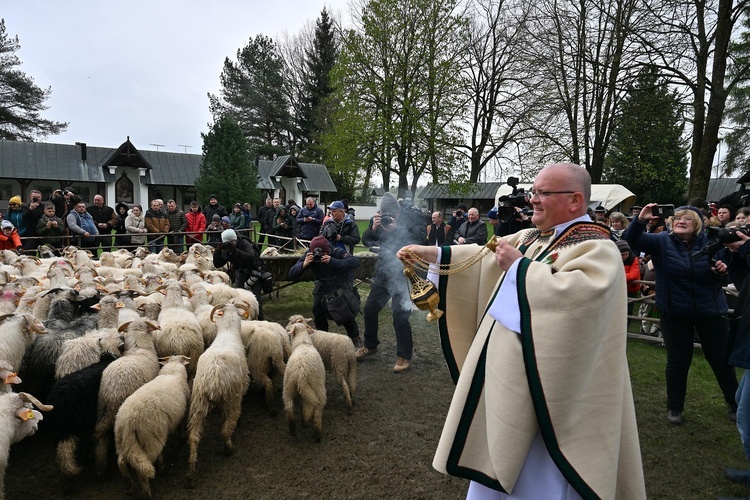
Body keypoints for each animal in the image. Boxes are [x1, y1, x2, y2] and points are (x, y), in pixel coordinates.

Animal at [115, 354, 191, 498]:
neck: (172, 371)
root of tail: (129, 421)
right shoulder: (181, 415)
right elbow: (180, 428)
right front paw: (181, 439)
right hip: (149, 440)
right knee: (142, 470)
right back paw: (147, 492)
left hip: (123, 441)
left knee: (121, 462)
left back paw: (129, 486)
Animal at [187, 302, 251, 486]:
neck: (227, 331)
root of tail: (214, 379)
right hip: (232, 398)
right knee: (225, 429)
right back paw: (229, 448)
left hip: (198, 402)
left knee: (193, 437)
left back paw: (190, 474)